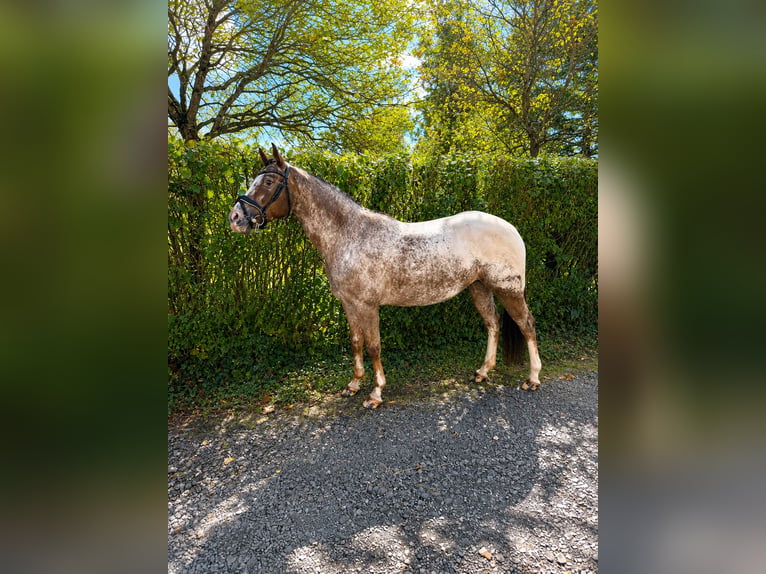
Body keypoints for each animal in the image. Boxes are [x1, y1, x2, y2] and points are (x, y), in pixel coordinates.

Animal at [229, 144, 542, 409]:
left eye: (268, 183)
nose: (236, 218)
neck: (350, 235)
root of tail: (511, 228)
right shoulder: (349, 304)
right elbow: (356, 342)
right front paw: (353, 385)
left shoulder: (368, 305)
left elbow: (374, 346)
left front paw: (375, 394)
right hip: (479, 287)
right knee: (493, 323)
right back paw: (482, 372)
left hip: (508, 289)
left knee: (526, 325)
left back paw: (533, 378)